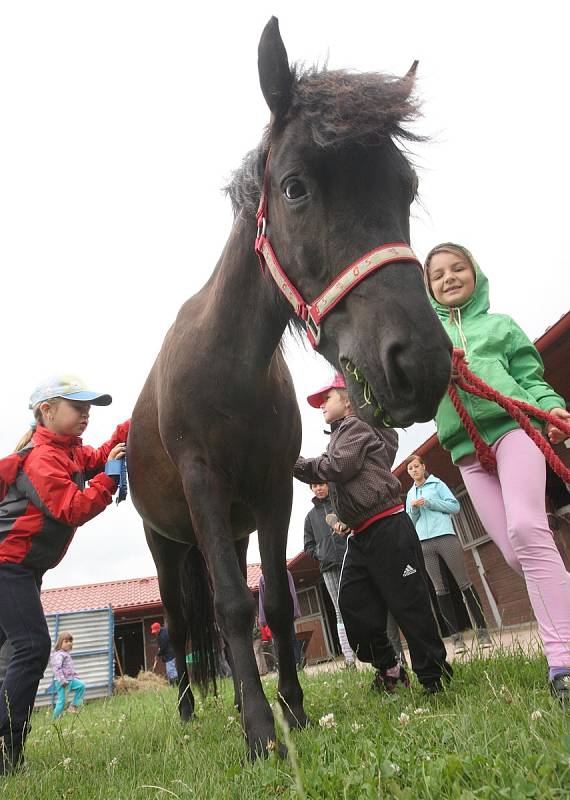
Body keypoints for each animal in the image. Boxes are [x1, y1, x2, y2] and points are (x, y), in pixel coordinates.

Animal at [126, 15, 450, 760]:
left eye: (406, 187)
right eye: (296, 187)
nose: (420, 362)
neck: (229, 370)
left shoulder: (273, 493)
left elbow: (272, 603)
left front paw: (293, 713)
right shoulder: (204, 487)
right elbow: (231, 607)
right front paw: (258, 733)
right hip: (167, 544)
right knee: (181, 627)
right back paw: (189, 715)